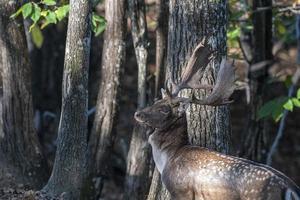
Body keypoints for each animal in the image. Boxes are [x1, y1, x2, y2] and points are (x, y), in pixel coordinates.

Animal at [134, 39, 300, 200]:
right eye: (156, 101)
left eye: (164, 109)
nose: (138, 114)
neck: (169, 157)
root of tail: (290, 188)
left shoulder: (181, 190)